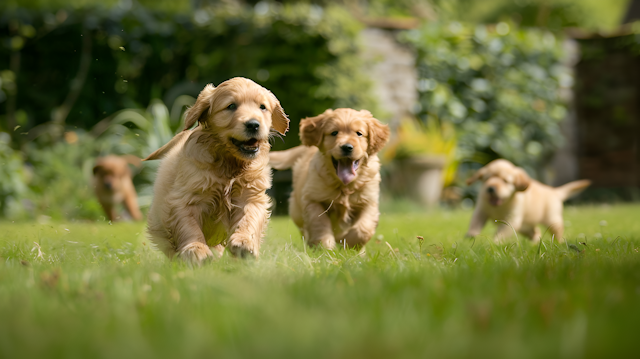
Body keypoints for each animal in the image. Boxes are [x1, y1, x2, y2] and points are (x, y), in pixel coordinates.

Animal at [144, 78, 288, 264]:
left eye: (262, 107)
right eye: (231, 106)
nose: (254, 124)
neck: (229, 163)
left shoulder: (250, 195)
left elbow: (249, 218)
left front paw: (244, 243)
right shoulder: (185, 199)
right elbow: (189, 226)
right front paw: (196, 250)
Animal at [268, 108, 390, 252]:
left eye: (359, 133)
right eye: (334, 133)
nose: (347, 147)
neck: (344, 186)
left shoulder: (369, 201)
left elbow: (363, 229)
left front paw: (350, 246)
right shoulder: (313, 200)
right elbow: (320, 225)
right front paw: (326, 248)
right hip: (296, 211)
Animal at [464, 160, 592, 245]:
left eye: (505, 181)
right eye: (486, 179)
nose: (490, 189)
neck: (500, 205)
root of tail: (553, 191)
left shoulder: (511, 220)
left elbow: (501, 232)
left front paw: (495, 242)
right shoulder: (480, 211)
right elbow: (475, 223)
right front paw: (470, 236)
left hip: (552, 220)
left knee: (557, 232)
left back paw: (558, 243)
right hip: (525, 227)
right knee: (536, 231)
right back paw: (534, 243)